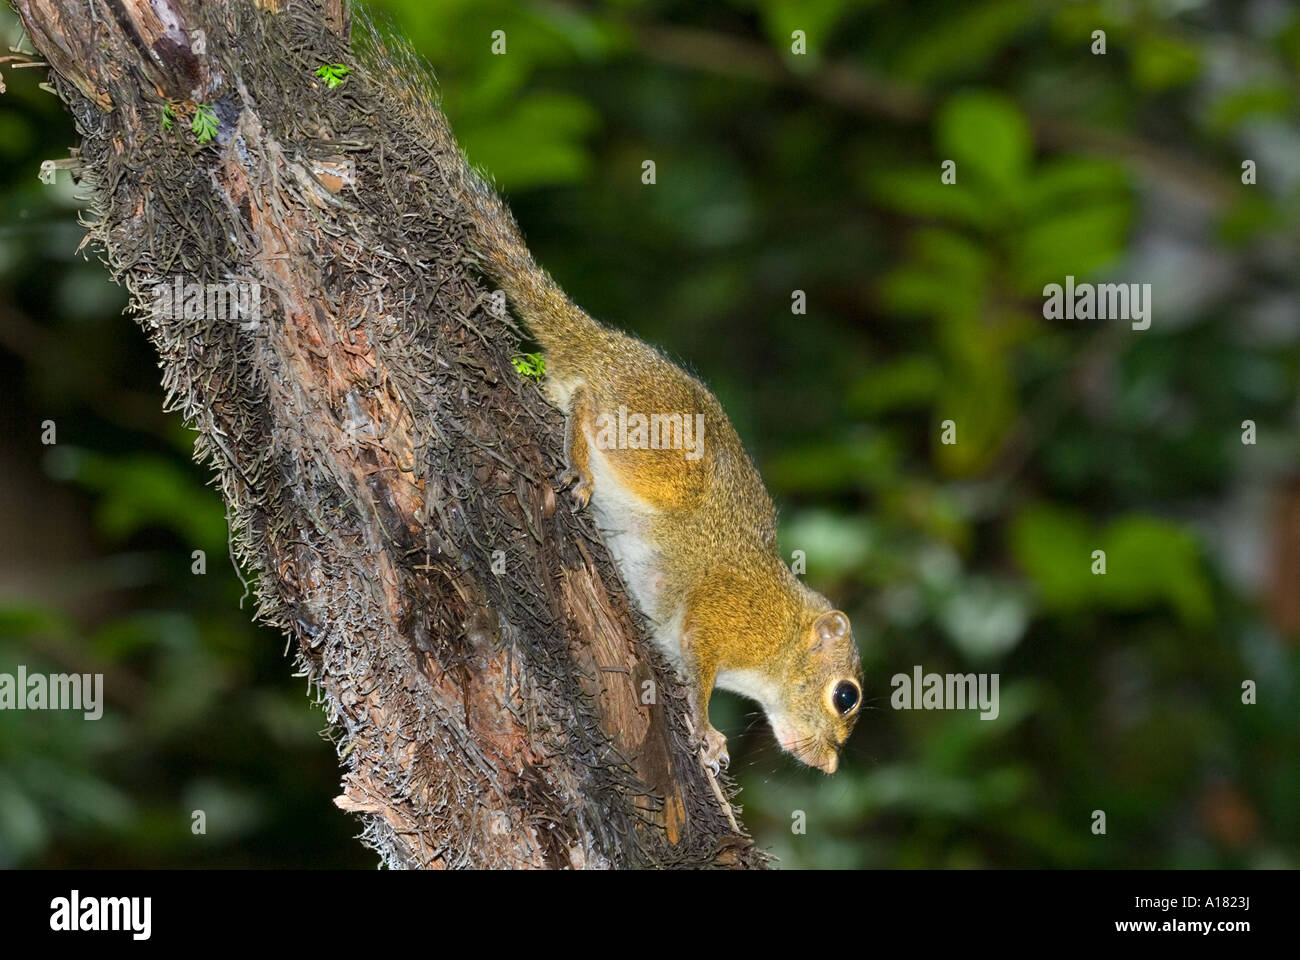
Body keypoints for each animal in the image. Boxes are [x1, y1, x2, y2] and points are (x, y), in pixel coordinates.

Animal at [416, 93, 863, 775]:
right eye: (845, 695)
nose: (830, 765)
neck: (783, 630)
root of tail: (604, 347)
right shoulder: (727, 617)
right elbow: (699, 668)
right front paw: (708, 733)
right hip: (658, 455)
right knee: (589, 405)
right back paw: (578, 460)